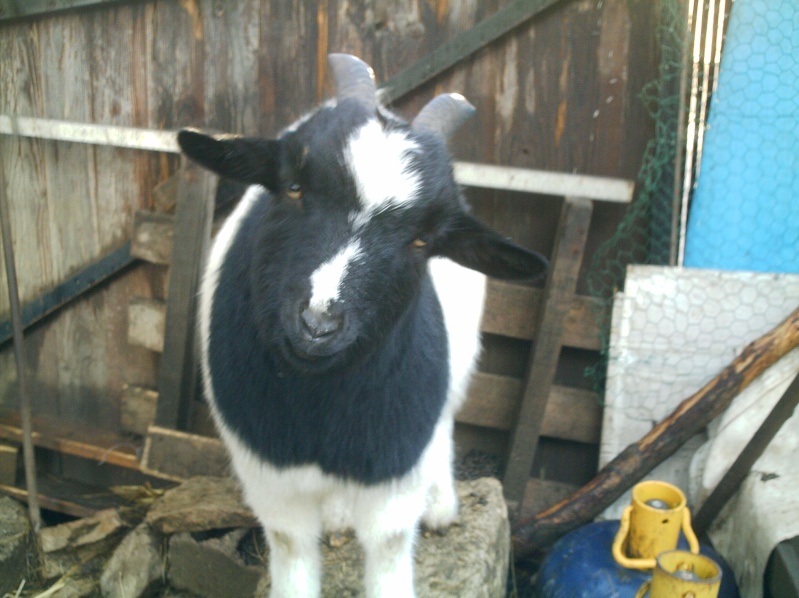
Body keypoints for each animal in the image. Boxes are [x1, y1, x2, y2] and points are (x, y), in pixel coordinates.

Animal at [178, 54, 548, 596]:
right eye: (293, 187)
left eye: (423, 240)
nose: (318, 322)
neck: (320, 407)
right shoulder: (267, 473)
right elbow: (291, 549)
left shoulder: (394, 471)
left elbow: (391, 548)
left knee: (445, 420)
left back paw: (441, 507)